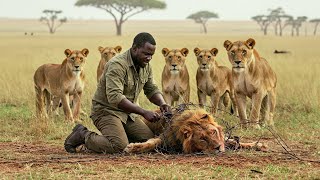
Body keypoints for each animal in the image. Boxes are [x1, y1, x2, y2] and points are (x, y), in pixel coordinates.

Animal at [125, 107, 268, 154]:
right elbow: (152, 143)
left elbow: (233, 141)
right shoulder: (165, 138)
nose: (218, 148)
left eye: (213, 132)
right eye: (202, 139)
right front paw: (133, 148)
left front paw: (259, 145)